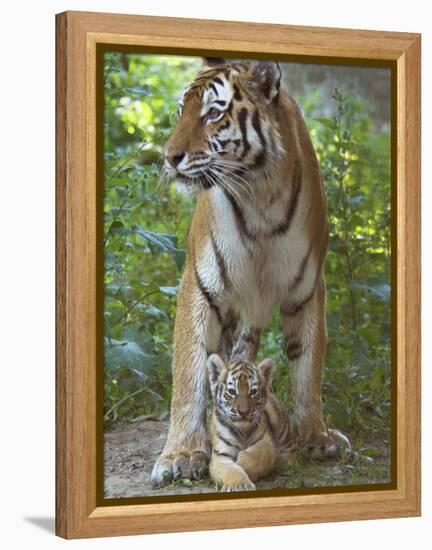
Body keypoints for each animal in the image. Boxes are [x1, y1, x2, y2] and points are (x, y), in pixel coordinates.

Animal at [151, 57, 348, 488]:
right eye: (181, 111)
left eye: (212, 113)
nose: (169, 157)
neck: (261, 196)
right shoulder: (200, 285)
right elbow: (189, 371)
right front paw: (181, 454)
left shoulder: (308, 288)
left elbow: (308, 366)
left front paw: (316, 436)